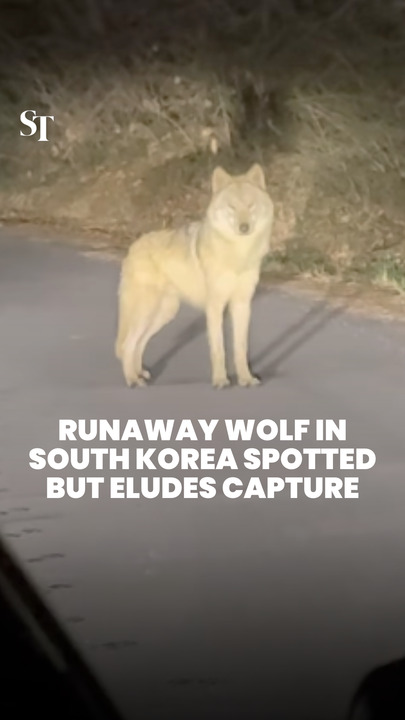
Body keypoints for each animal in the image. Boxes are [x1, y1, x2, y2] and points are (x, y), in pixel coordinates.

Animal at [115, 163, 274, 388]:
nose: (244, 228)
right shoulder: (215, 306)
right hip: (147, 312)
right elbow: (218, 349)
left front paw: (246, 379)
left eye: (250, 205)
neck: (238, 253)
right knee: (128, 344)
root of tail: (132, 247)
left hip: (164, 314)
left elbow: (241, 349)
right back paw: (132, 379)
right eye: (232, 207)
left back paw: (139, 374)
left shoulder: (242, 304)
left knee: (139, 343)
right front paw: (220, 381)